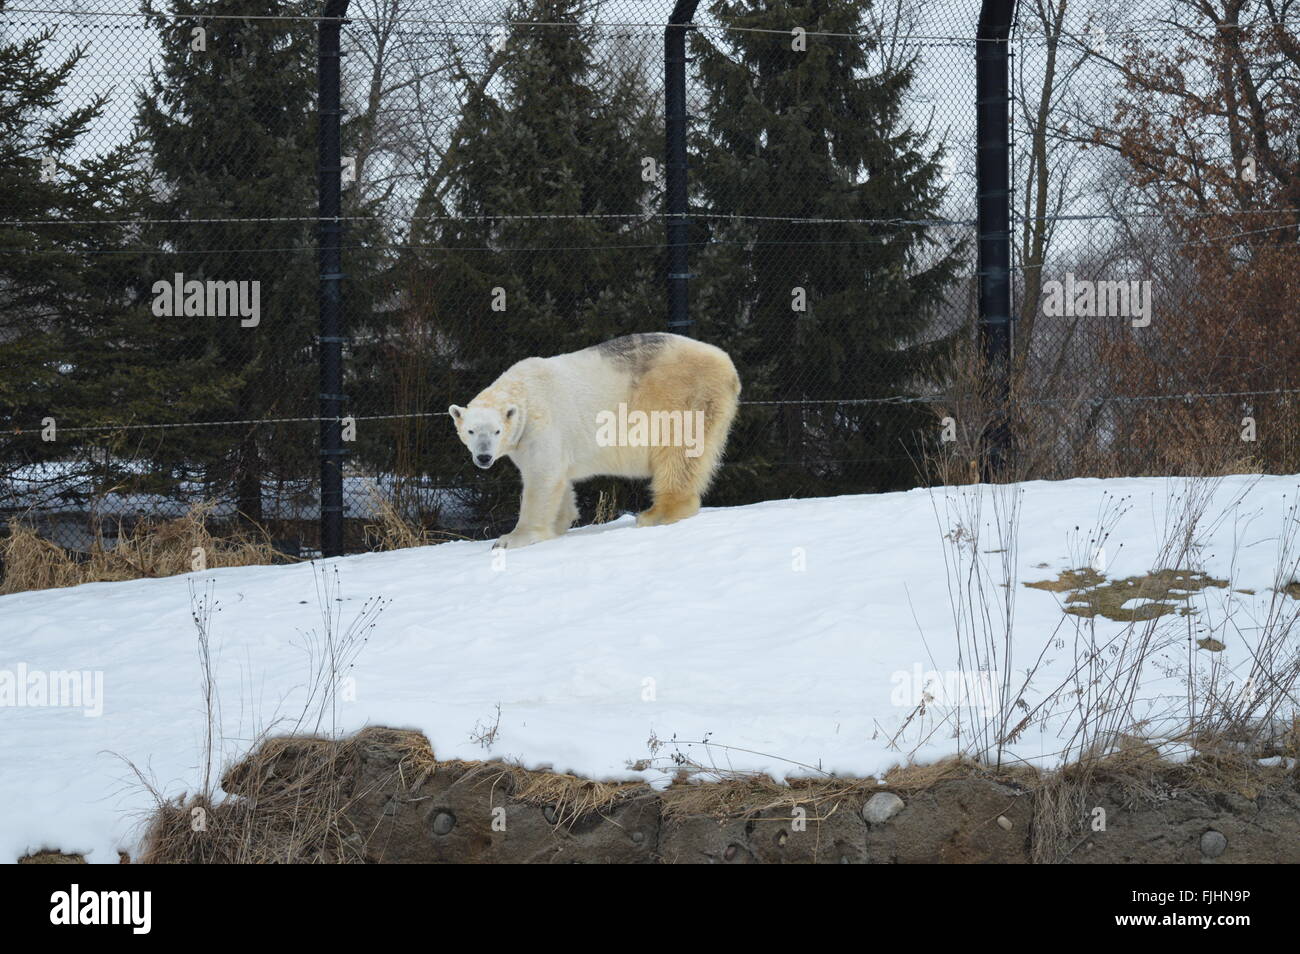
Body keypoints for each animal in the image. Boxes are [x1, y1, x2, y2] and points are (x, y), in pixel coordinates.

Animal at [449, 332, 741, 549]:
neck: (523, 392)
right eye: (471, 431)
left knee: (678, 452)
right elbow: (559, 479)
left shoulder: (541, 424)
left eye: (496, 431)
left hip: (683, 396)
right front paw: (559, 523)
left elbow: (542, 476)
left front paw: (510, 539)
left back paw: (656, 514)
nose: (484, 457)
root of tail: (728, 365)